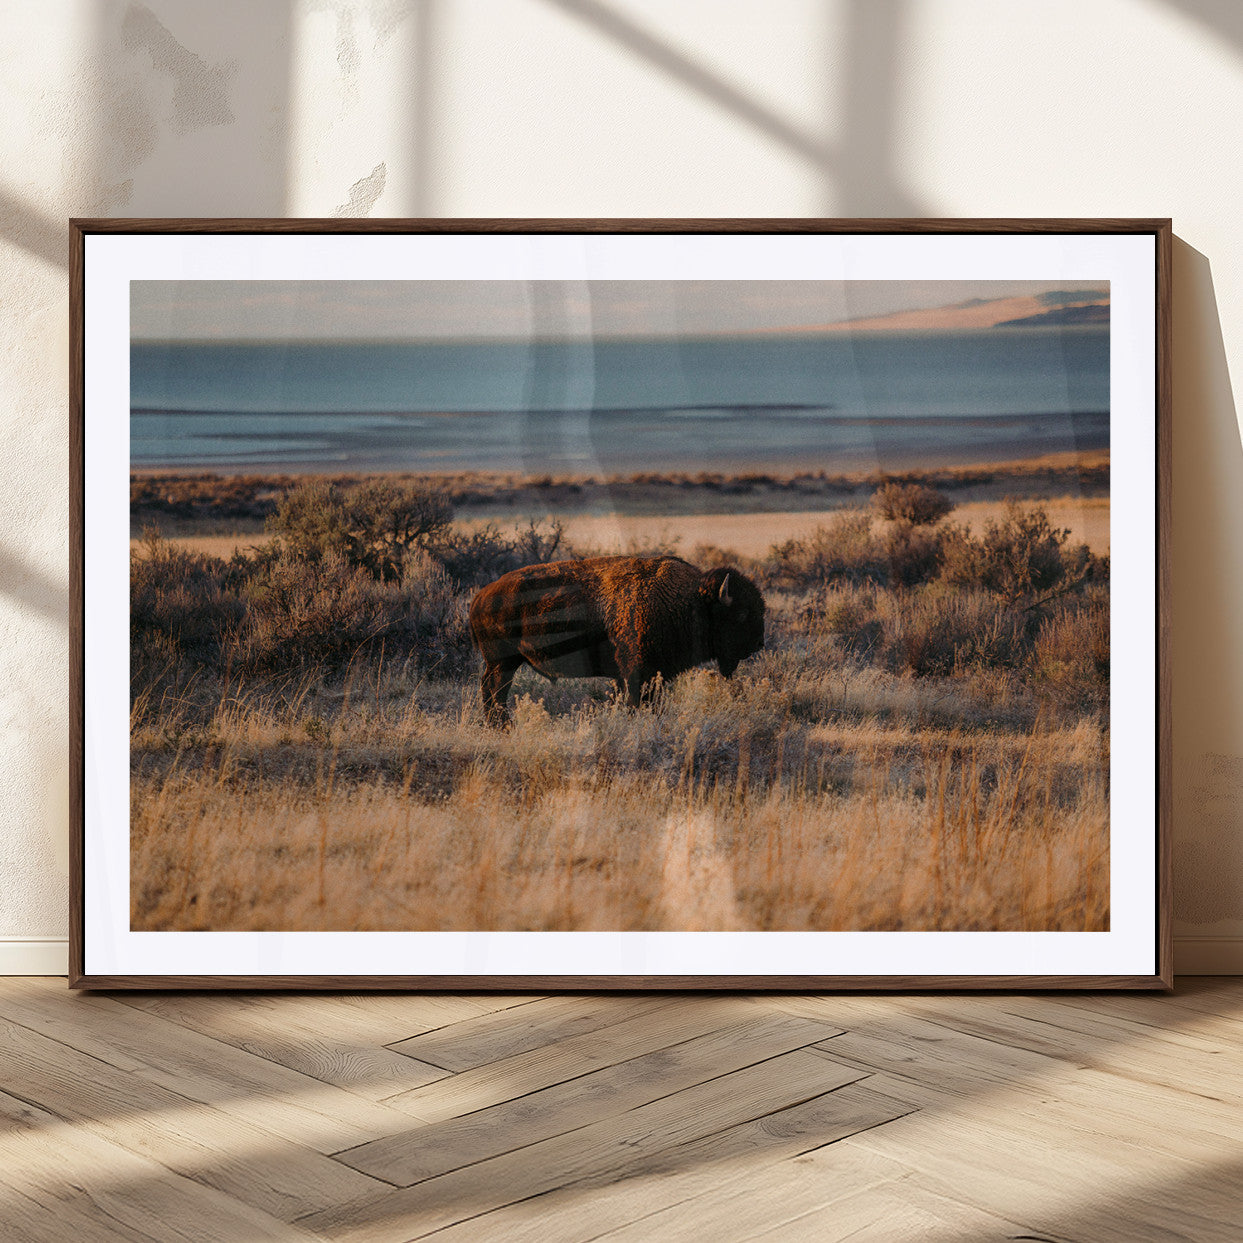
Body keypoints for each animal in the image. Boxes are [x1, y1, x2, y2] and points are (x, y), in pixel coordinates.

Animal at [469, 555, 765, 726]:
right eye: (741, 614)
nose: (759, 643)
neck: (690, 600)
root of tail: (480, 597)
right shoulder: (639, 673)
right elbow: (639, 702)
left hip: (504, 663)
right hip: (502, 662)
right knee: (494, 690)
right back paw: (502, 726)